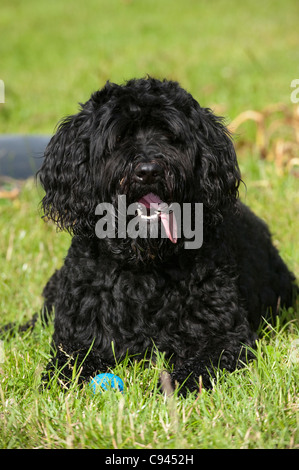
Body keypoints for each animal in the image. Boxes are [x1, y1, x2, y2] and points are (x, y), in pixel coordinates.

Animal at [37, 77, 298, 392]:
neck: (144, 267)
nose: (149, 171)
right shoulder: (78, 339)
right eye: (120, 136)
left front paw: (171, 389)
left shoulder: (226, 338)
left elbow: (198, 368)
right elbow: (66, 366)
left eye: (169, 135)